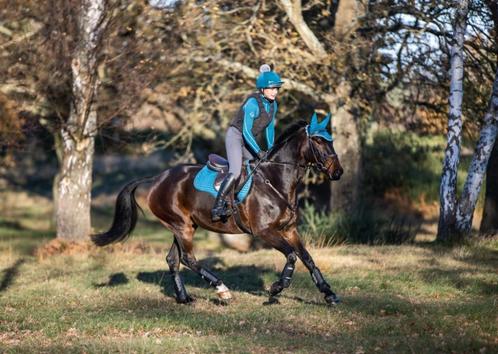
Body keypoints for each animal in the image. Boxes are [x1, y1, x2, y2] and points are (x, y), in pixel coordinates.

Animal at [92, 115, 342, 306]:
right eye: (318, 141)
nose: (338, 172)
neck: (276, 181)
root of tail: (156, 178)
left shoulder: (289, 229)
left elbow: (307, 258)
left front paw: (329, 293)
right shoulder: (265, 232)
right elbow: (291, 256)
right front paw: (276, 289)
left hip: (182, 226)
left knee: (173, 259)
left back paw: (184, 298)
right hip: (183, 227)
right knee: (188, 258)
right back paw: (222, 289)